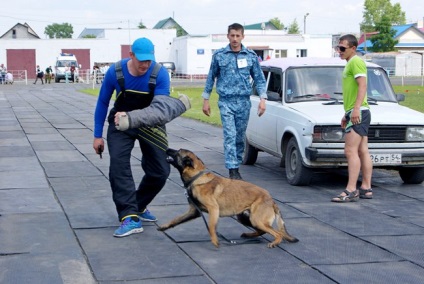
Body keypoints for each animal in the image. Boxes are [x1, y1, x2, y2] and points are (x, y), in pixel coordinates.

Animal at [157, 149, 300, 248]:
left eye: (177, 152)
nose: (167, 148)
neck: (196, 177)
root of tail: (271, 200)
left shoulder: (213, 209)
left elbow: (211, 226)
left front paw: (215, 240)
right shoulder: (194, 211)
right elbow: (176, 219)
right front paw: (164, 226)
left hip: (256, 219)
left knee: (277, 233)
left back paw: (275, 242)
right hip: (246, 218)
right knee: (261, 231)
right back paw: (249, 235)